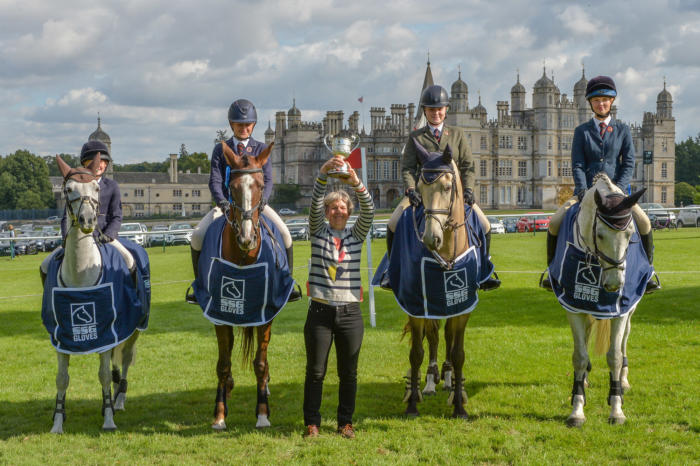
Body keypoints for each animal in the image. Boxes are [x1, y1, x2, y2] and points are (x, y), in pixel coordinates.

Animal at [48, 157, 140, 434]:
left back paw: (119, 400)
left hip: (133, 329)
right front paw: (58, 421)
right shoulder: (61, 335)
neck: (81, 277)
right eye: (68, 189)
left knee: (124, 360)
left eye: (97, 189)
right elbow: (62, 378)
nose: (88, 220)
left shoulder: (107, 332)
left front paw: (108, 419)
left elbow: (104, 375)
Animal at [556, 174, 652, 426]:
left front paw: (616, 408)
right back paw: (584, 380)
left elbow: (615, 356)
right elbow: (579, 356)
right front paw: (577, 407)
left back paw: (623, 381)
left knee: (624, 341)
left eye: (630, 234)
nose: (614, 284)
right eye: (599, 234)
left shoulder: (622, 308)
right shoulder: (573, 305)